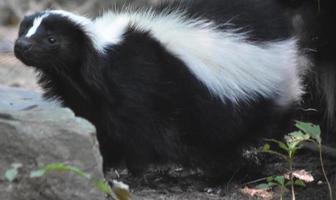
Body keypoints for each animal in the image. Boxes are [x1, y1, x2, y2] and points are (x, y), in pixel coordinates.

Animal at [14, 0, 306, 175]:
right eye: (24, 32)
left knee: (252, 131)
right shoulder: (87, 97)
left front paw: (134, 169)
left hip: (256, 100)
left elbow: (141, 131)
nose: (20, 46)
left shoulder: (141, 84)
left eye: (52, 40)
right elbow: (97, 125)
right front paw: (103, 160)